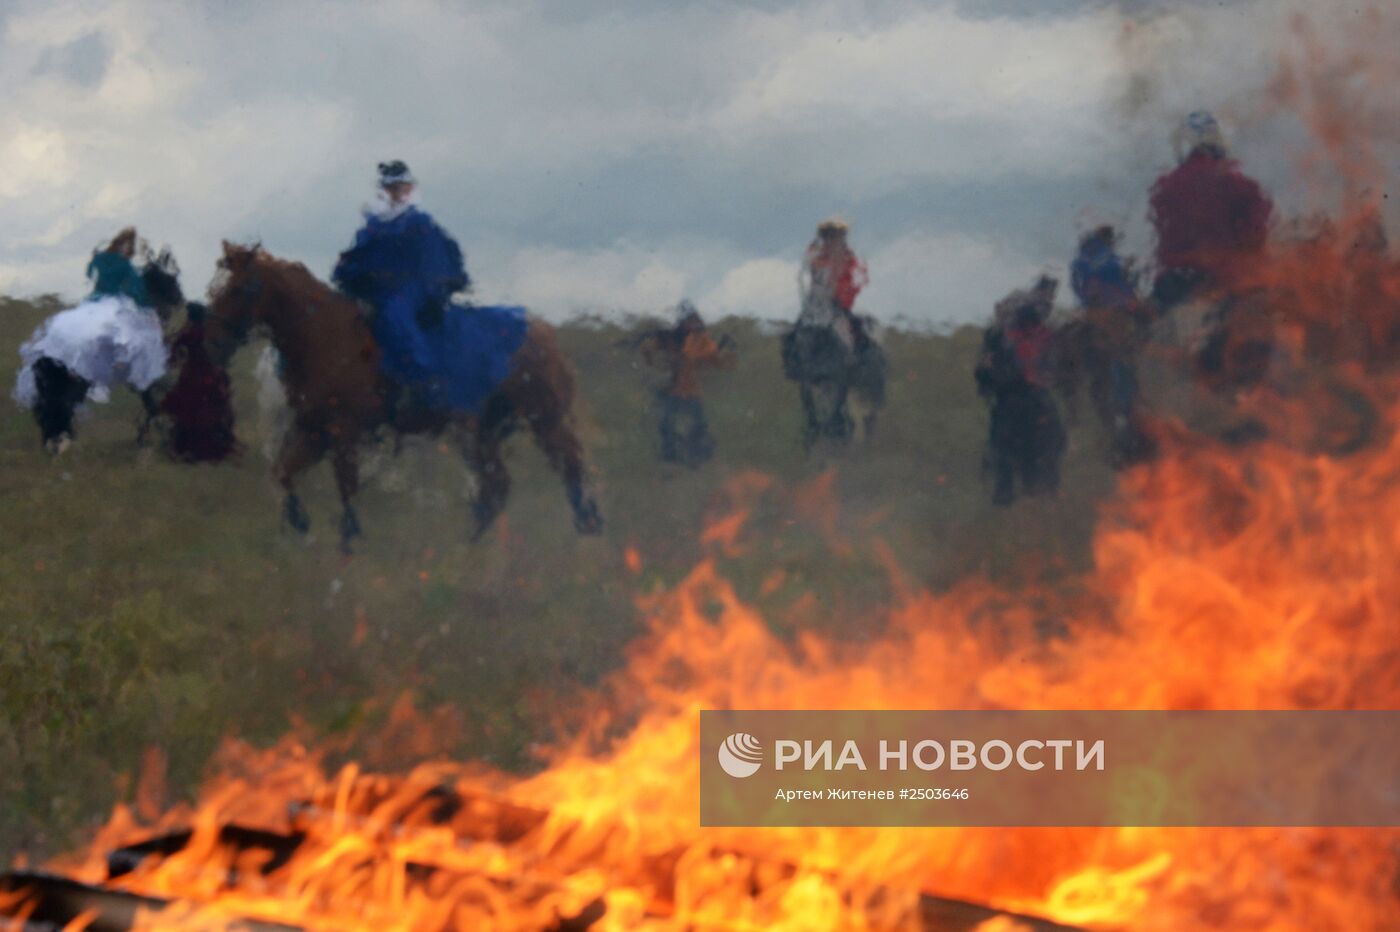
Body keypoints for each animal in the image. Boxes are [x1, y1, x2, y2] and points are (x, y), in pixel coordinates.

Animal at [204, 239, 602, 548]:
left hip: (541, 420)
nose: (213, 343)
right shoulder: (312, 430)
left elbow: (346, 487)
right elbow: (283, 474)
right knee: (500, 485)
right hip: (485, 431)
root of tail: (543, 333)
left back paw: (582, 528)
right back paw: (473, 545)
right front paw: (302, 527)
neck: (327, 336)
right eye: (214, 287)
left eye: (239, 289)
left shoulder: (343, 433)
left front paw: (349, 543)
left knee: (566, 466)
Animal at [778, 312, 884, 447]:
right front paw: (814, 430)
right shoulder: (810, 384)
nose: (791, 369)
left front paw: (834, 429)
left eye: (812, 345)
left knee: (868, 414)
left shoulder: (840, 382)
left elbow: (836, 406)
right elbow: (812, 406)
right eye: (792, 347)